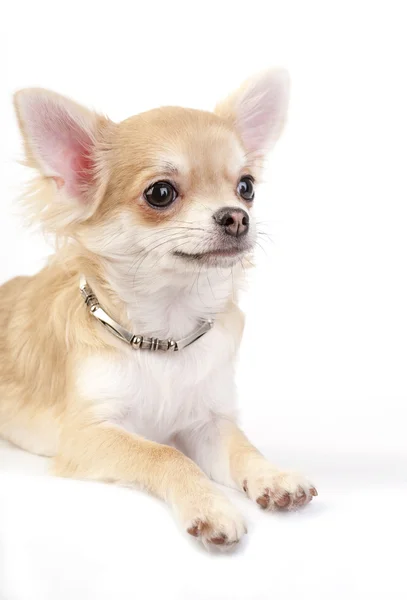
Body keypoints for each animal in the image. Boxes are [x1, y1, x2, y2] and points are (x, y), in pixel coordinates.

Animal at [0, 69, 318, 548]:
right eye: (161, 193)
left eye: (246, 187)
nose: (237, 217)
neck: (163, 334)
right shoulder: (86, 434)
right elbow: (162, 454)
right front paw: (209, 506)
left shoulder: (207, 423)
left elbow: (242, 448)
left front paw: (272, 475)